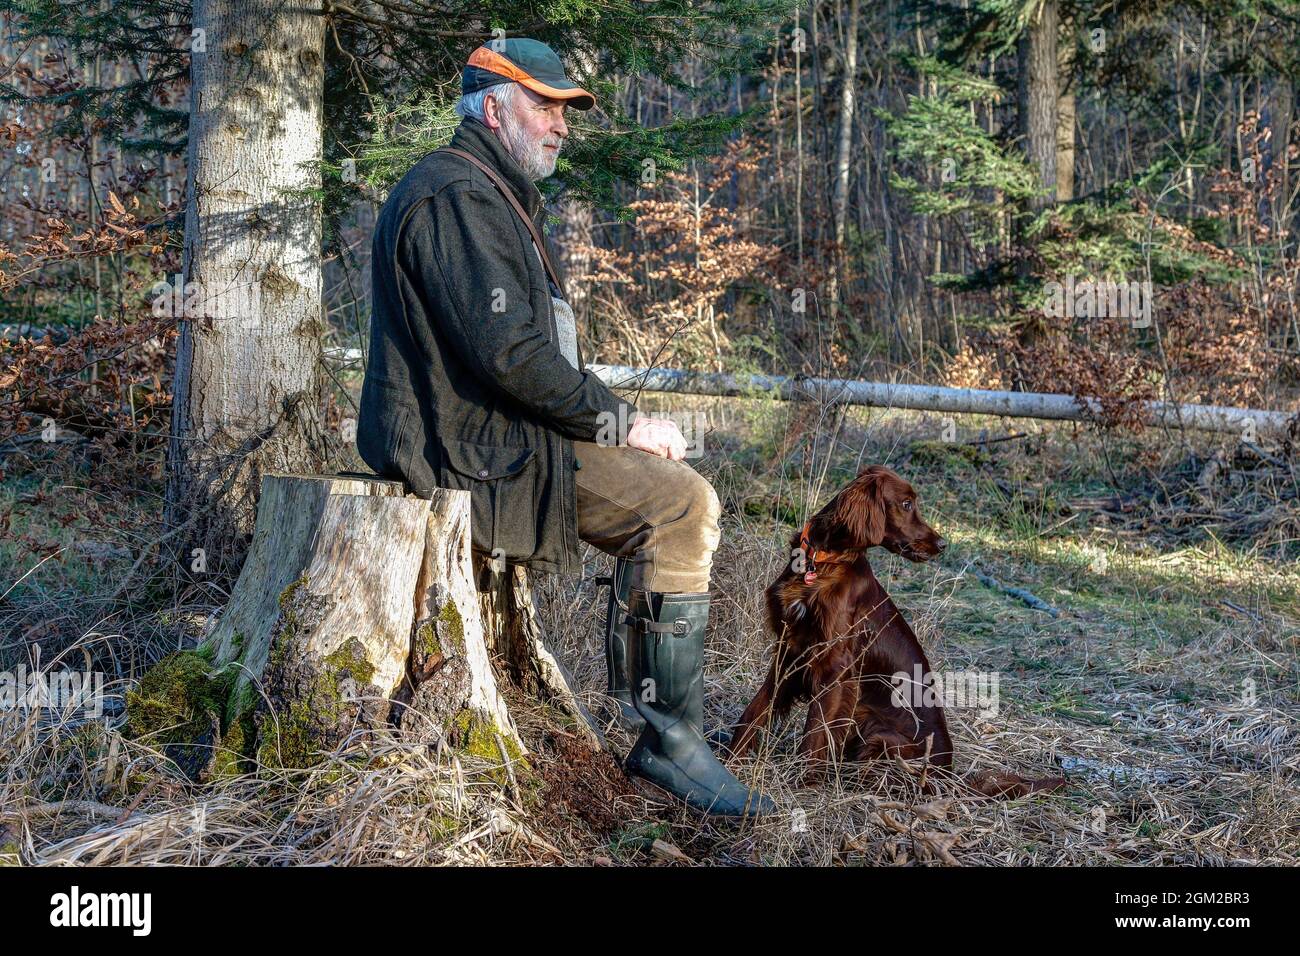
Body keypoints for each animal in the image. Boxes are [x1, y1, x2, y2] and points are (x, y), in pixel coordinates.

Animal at [733, 468, 1066, 796]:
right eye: (906, 504)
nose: (943, 545)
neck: (825, 560)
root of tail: (950, 777)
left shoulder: (834, 667)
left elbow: (815, 732)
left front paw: (803, 785)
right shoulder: (788, 651)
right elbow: (756, 710)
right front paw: (732, 758)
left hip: (879, 733)